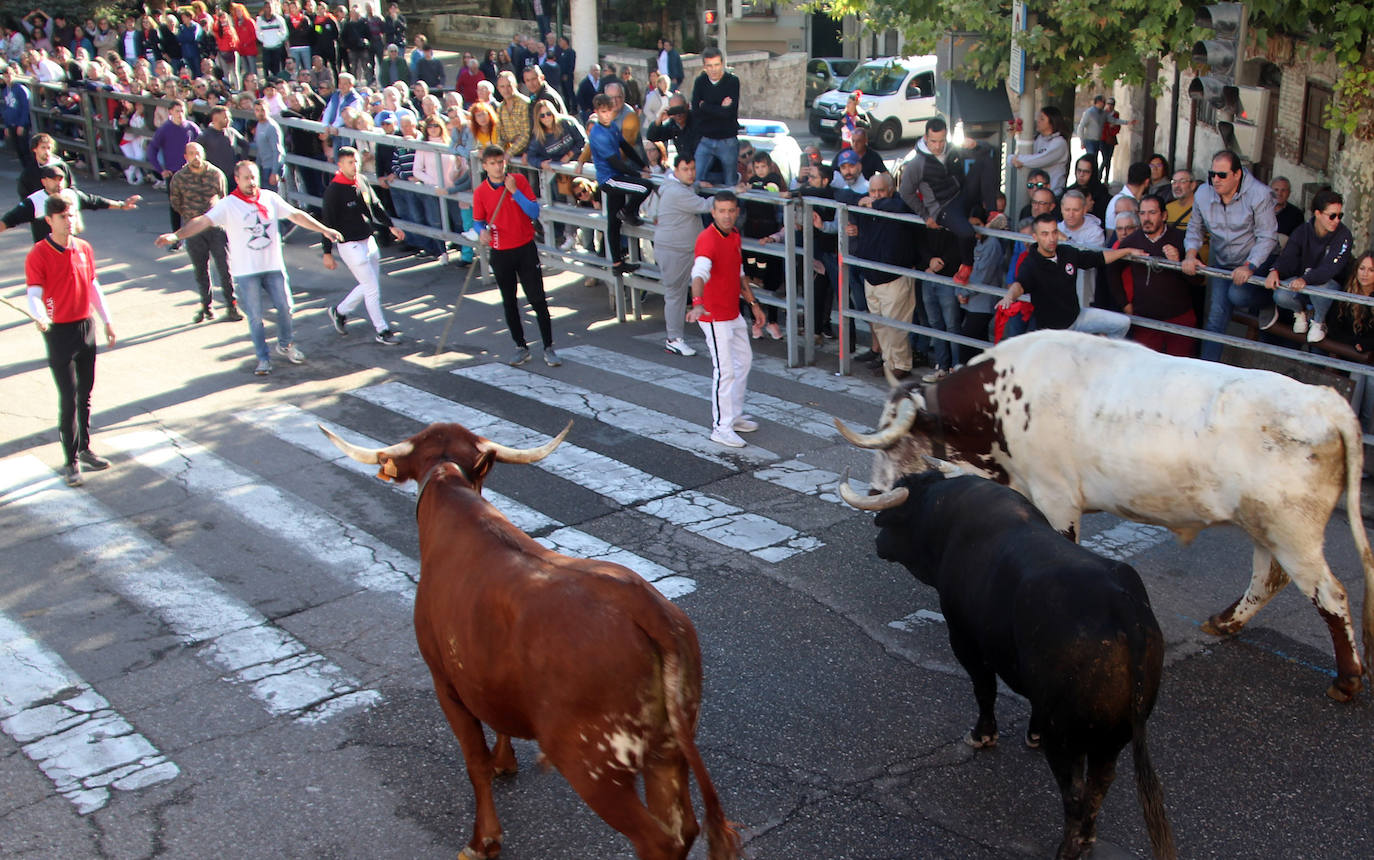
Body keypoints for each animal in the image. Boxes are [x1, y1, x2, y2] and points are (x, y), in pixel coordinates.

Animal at [322, 417, 741, 851]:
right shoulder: (487, 676)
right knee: (682, 828)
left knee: (656, 839)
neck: (451, 490)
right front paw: (505, 764)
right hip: (668, 749)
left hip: (594, 765)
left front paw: (483, 840)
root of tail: (645, 608)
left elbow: (475, 762)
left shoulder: (445, 683)